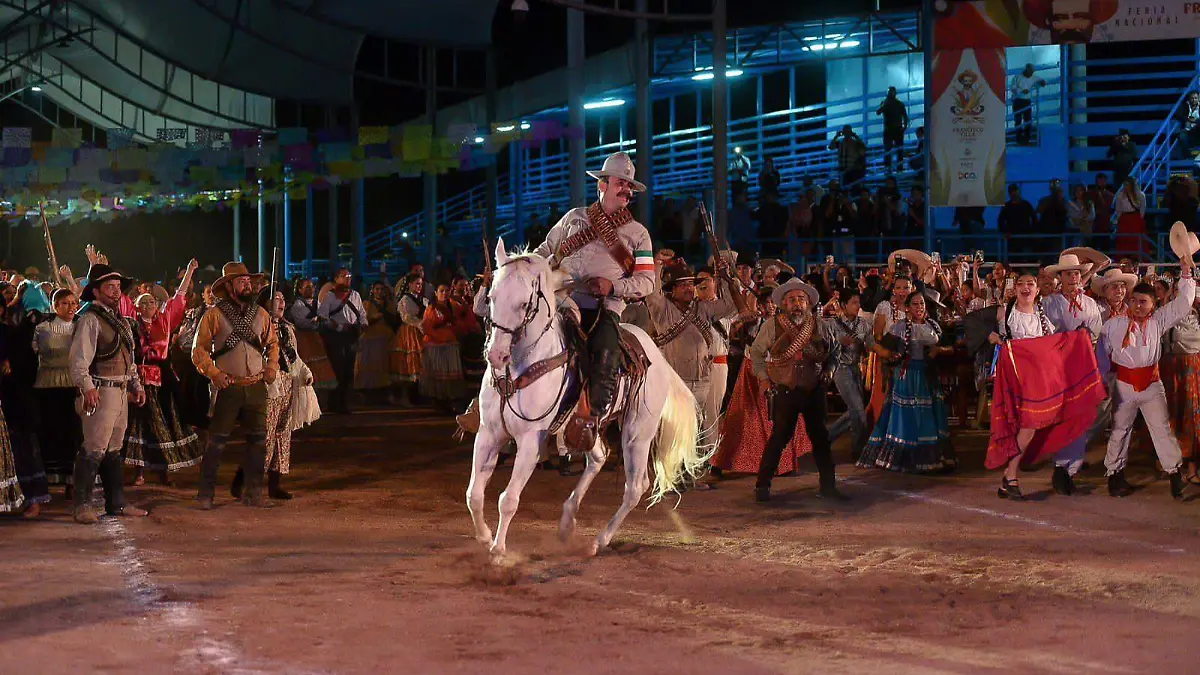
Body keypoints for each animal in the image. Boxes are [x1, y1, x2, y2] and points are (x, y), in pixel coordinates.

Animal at [468, 239, 710, 554]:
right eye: (491, 297)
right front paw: (485, 537)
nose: (496, 355)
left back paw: (599, 540)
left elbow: (508, 499)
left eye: (524, 304)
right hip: (583, 426)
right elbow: (474, 493)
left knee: (635, 487)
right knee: (598, 457)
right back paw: (567, 521)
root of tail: (658, 357)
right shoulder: (489, 433)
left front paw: (498, 551)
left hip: (638, 431)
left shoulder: (531, 440)